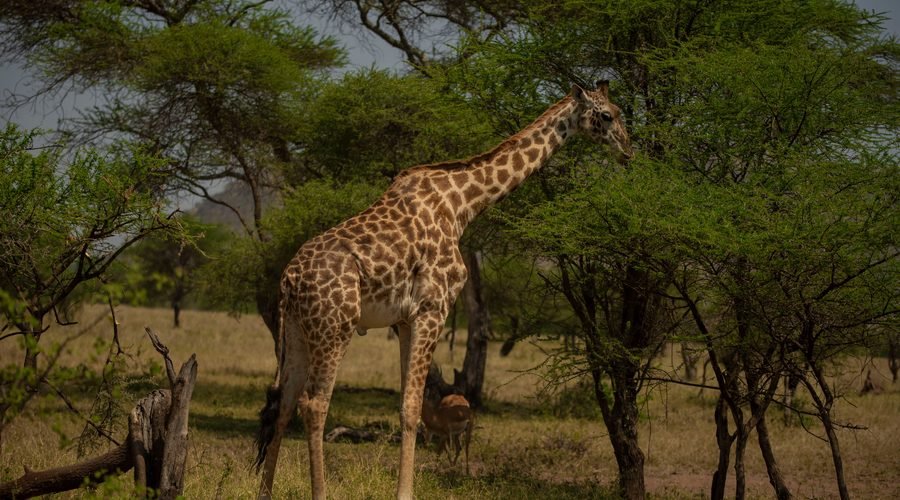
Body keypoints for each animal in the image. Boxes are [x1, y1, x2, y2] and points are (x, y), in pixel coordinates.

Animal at [254, 81, 633, 500]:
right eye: (607, 115)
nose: (628, 149)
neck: (463, 203)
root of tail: (289, 280)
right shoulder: (433, 308)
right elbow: (412, 407)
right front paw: (405, 493)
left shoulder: (405, 319)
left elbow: (409, 404)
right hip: (335, 328)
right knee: (314, 403)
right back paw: (319, 491)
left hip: (297, 331)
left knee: (284, 404)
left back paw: (264, 491)